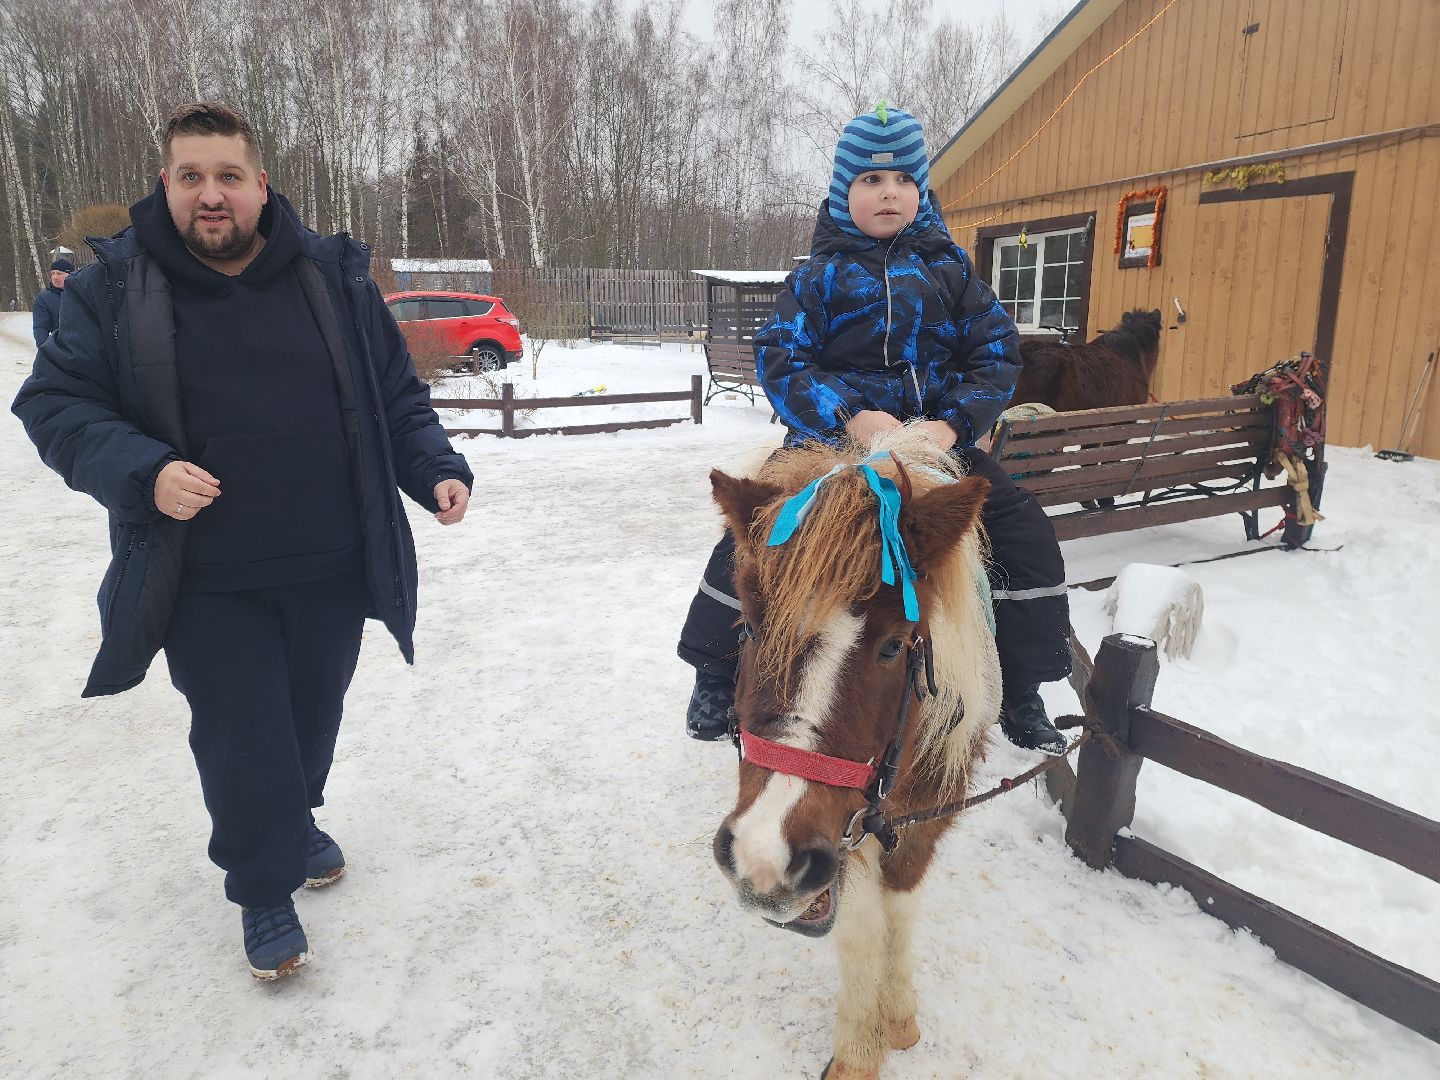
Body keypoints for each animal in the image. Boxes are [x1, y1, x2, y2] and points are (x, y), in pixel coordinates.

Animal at [708, 428, 1001, 1080]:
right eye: (748, 630)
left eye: (893, 646)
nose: (762, 856)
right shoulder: (843, 839)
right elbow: (861, 929)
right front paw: (859, 1050)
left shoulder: (925, 817)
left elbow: (902, 909)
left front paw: (899, 1015)